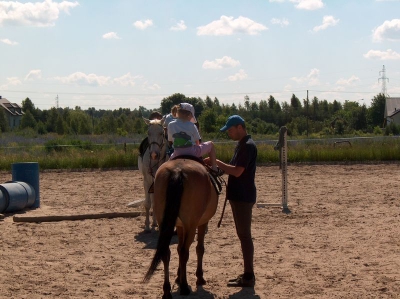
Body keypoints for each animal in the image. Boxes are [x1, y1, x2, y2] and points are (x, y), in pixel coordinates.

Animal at [143, 158, 219, 298]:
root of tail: (177, 171)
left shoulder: (179, 225)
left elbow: (178, 248)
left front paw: (178, 277)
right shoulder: (201, 223)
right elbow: (199, 249)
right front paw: (198, 277)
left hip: (164, 223)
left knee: (166, 251)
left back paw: (167, 290)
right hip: (191, 225)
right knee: (185, 251)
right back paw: (184, 288)